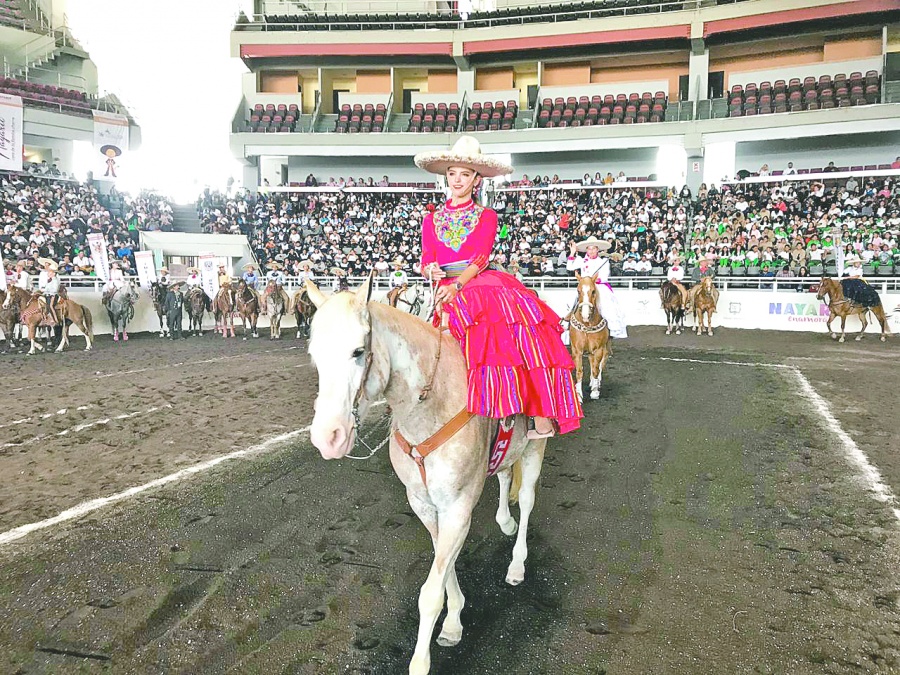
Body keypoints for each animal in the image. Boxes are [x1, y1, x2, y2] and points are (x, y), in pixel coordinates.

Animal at [308, 276, 548, 675]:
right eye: (313, 354)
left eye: (358, 351)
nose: (328, 437)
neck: (433, 405)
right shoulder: (423, 503)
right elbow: (442, 562)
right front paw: (453, 621)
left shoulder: (458, 507)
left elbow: (430, 591)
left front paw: (422, 659)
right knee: (502, 477)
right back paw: (505, 521)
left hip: (535, 448)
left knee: (527, 500)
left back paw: (517, 563)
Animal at [568, 272, 612, 402]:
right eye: (578, 291)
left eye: (593, 291)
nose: (585, 315)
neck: (587, 325)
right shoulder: (576, 350)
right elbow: (579, 371)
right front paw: (578, 394)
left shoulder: (598, 349)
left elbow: (596, 369)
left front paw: (595, 392)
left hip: (606, 347)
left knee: (601, 364)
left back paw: (595, 383)